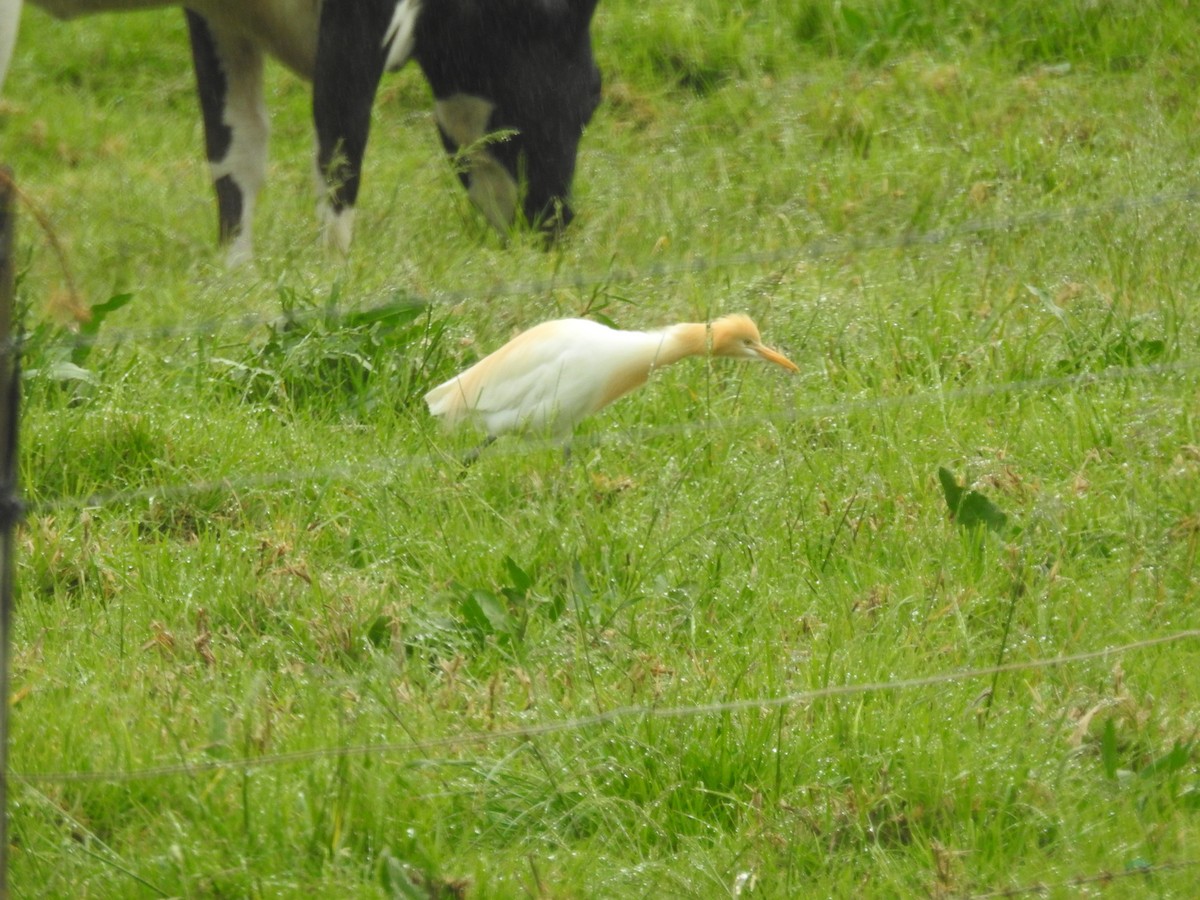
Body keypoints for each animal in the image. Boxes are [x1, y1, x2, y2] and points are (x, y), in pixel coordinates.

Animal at [0, 0, 602, 264]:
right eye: (593, 98)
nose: (557, 228)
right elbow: (340, 138)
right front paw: (332, 279)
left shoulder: (218, 15)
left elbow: (235, 148)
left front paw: (237, 275)